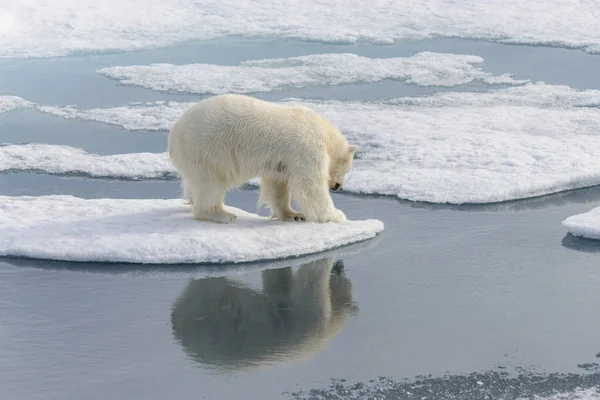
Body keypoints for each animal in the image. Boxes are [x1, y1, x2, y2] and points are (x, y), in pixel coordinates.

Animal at [168, 95, 356, 223]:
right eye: (347, 170)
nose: (338, 186)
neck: (324, 132)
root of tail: (175, 131)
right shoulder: (306, 147)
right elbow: (311, 186)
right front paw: (337, 215)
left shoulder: (280, 162)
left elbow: (277, 184)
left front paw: (294, 214)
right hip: (206, 149)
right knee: (210, 183)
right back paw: (221, 214)